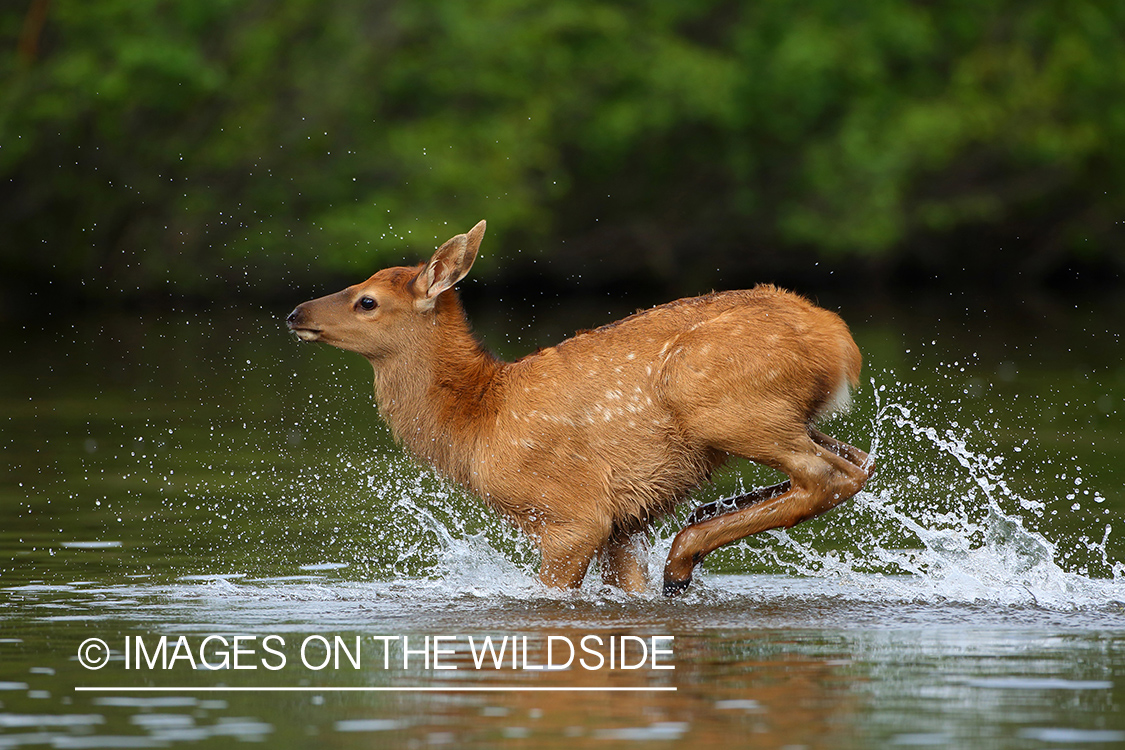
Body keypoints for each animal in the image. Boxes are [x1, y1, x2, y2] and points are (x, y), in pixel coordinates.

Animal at [288, 220, 868, 593]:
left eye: (366, 301)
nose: (296, 313)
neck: (477, 424)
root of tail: (839, 341)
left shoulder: (571, 512)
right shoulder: (625, 521)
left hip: (725, 405)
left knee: (823, 474)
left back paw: (684, 555)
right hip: (782, 417)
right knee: (857, 462)